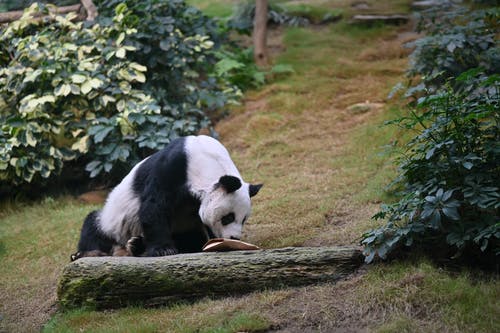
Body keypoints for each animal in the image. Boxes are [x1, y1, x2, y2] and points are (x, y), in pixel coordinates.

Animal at [73, 134, 266, 260]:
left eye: (243, 219)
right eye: (228, 217)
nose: (234, 238)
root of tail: (120, 250)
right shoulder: (173, 168)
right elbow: (154, 206)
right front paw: (163, 250)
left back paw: (136, 245)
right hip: (113, 221)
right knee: (94, 226)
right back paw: (88, 253)